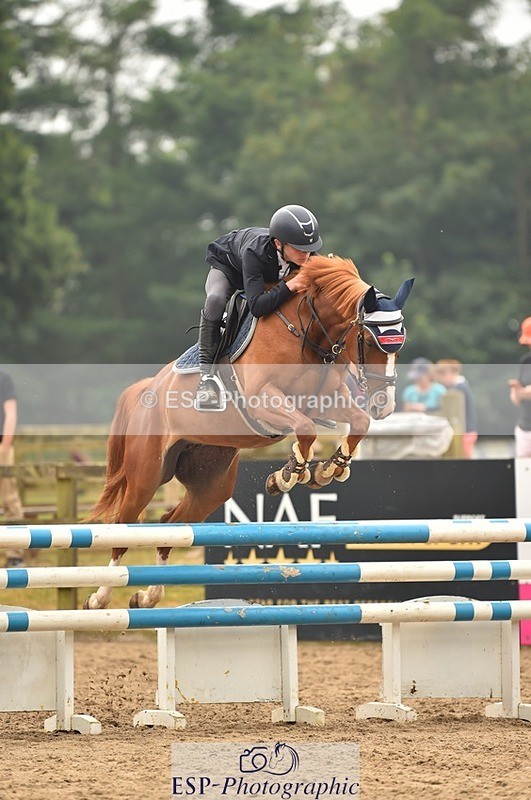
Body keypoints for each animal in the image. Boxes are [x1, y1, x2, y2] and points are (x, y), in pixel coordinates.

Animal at [84, 255, 413, 610]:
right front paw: (288, 475)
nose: (384, 405)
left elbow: (357, 423)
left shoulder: (326, 401)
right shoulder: (263, 399)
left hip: (211, 484)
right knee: (122, 528)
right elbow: (305, 429)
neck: (307, 331)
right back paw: (99, 598)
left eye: (400, 345)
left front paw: (329, 469)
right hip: (146, 475)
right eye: (369, 341)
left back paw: (148, 595)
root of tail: (146, 388)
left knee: (169, 524)